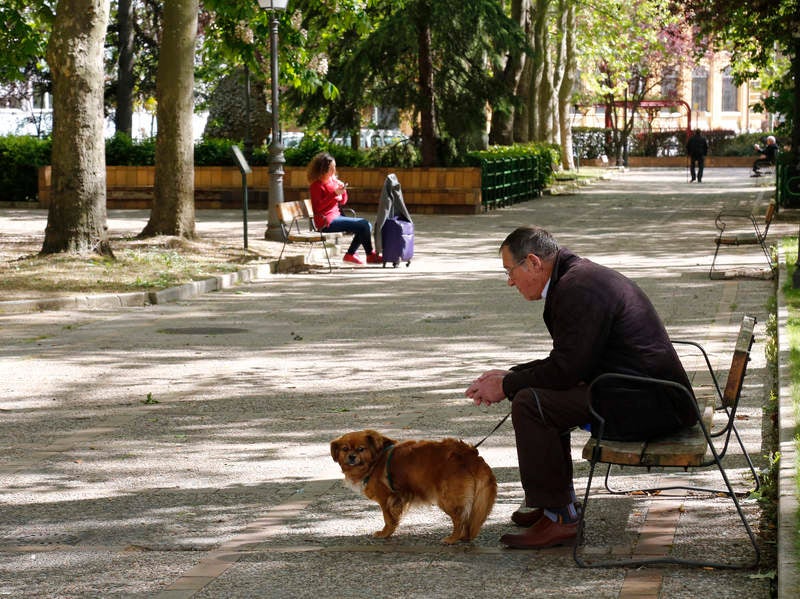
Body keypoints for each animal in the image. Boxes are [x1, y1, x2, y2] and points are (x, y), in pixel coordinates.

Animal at [330, 428, 494, 548]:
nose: (351, 456)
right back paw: (464, 537)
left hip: (447, 498)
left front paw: (385, 533)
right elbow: (393, 518)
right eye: (345, 449)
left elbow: (388, 518)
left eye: (361, 449)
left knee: (460, 519)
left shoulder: (386, 498)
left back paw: (452, 538)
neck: (376, 460)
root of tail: (469, 455)